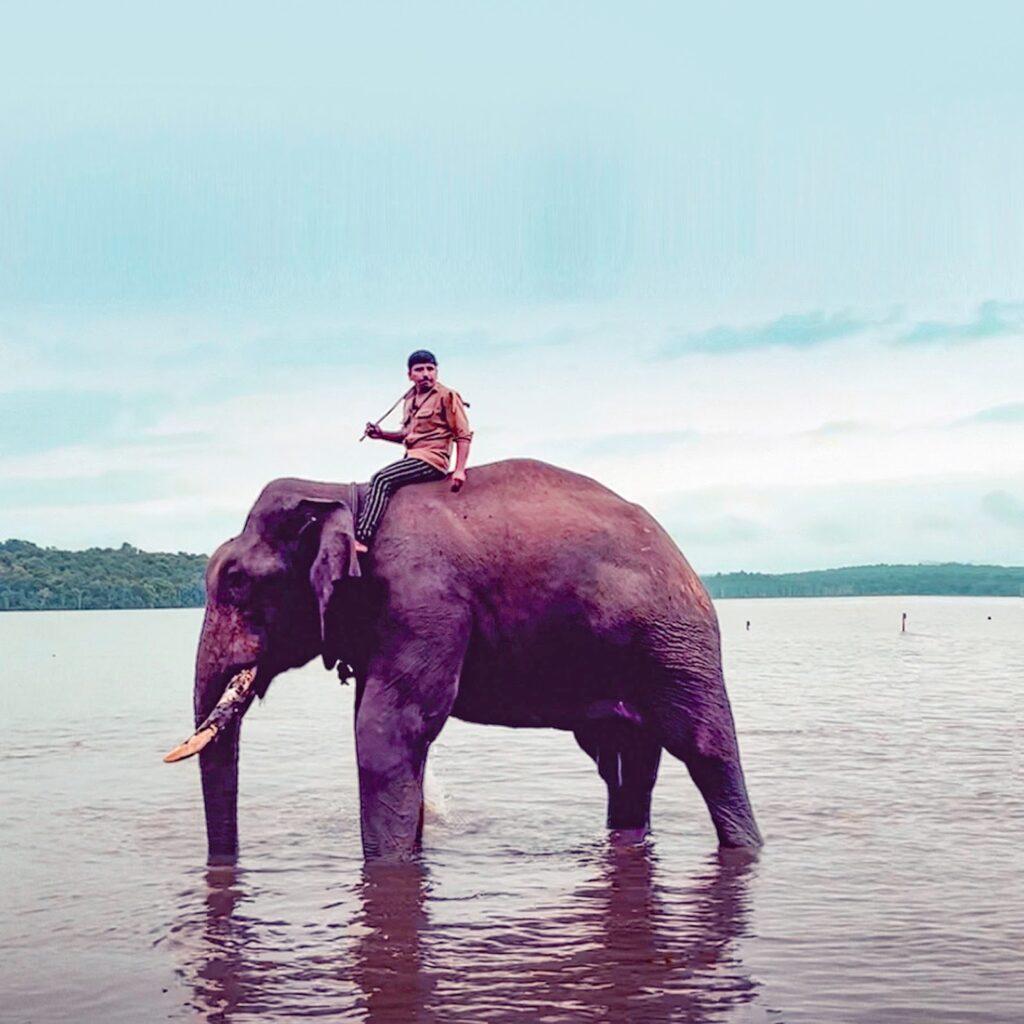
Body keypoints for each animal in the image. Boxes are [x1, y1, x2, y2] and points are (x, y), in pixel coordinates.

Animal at [165, 458, 762, 863]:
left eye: (236, 582)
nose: (228, 866)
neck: (345, 494)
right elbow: (395, 736)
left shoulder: (425, 598)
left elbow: (387, 731)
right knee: (624, 765)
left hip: (674, 643)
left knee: (705, 749)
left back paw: (744, 845)